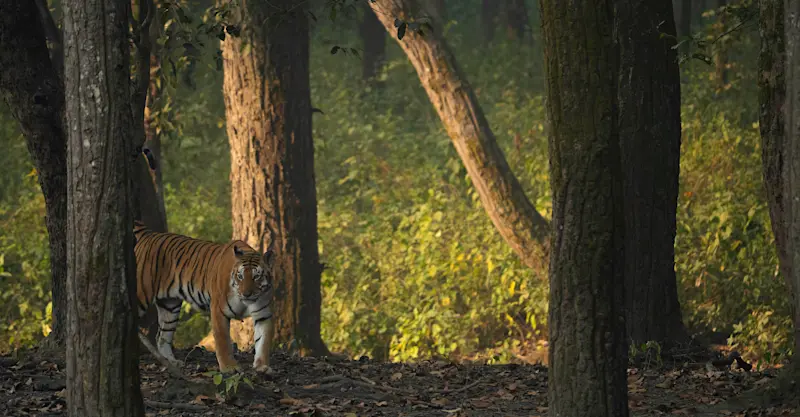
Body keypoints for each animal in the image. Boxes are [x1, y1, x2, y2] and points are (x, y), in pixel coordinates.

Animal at [133, 221, 276, 373]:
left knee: (162, 336)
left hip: (170, 307)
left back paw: (172, 362)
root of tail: (149, 234)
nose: (246, 294)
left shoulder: (263, 314)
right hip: (141, 295)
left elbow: (263, 342)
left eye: (256, 277)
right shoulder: (219, 310)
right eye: (240, 276)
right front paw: (229, 367)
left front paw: (262, 366)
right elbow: (223, 341)